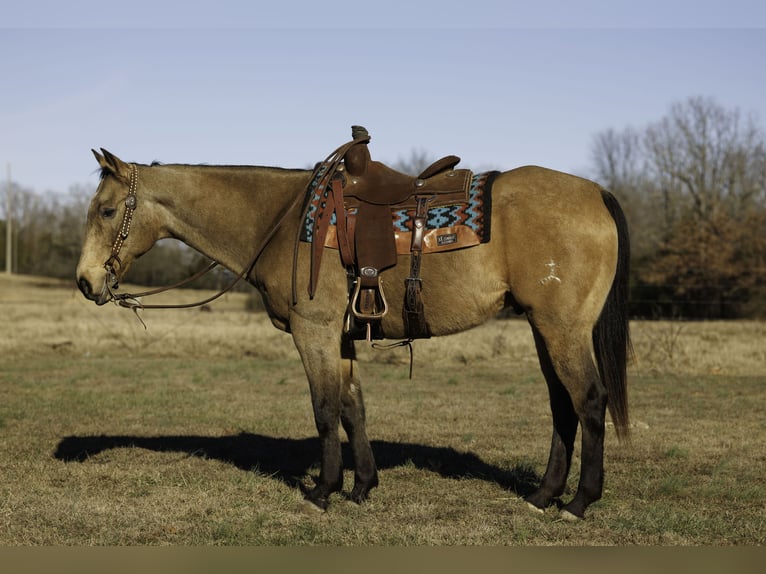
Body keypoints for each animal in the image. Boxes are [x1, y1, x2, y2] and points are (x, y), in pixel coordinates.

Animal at [76, 142, 631, 521]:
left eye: (107, 210)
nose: (85, 281)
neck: (282, 222)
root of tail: (597, 192)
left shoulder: (314, 332)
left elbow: (324, 409)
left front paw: (323, 490)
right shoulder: (341, 338)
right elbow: (351, 407)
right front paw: (362, 485)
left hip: (562, 329)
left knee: (588, 401)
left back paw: (579, 501)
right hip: (544, 329)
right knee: (562, 406)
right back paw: (543, 494)